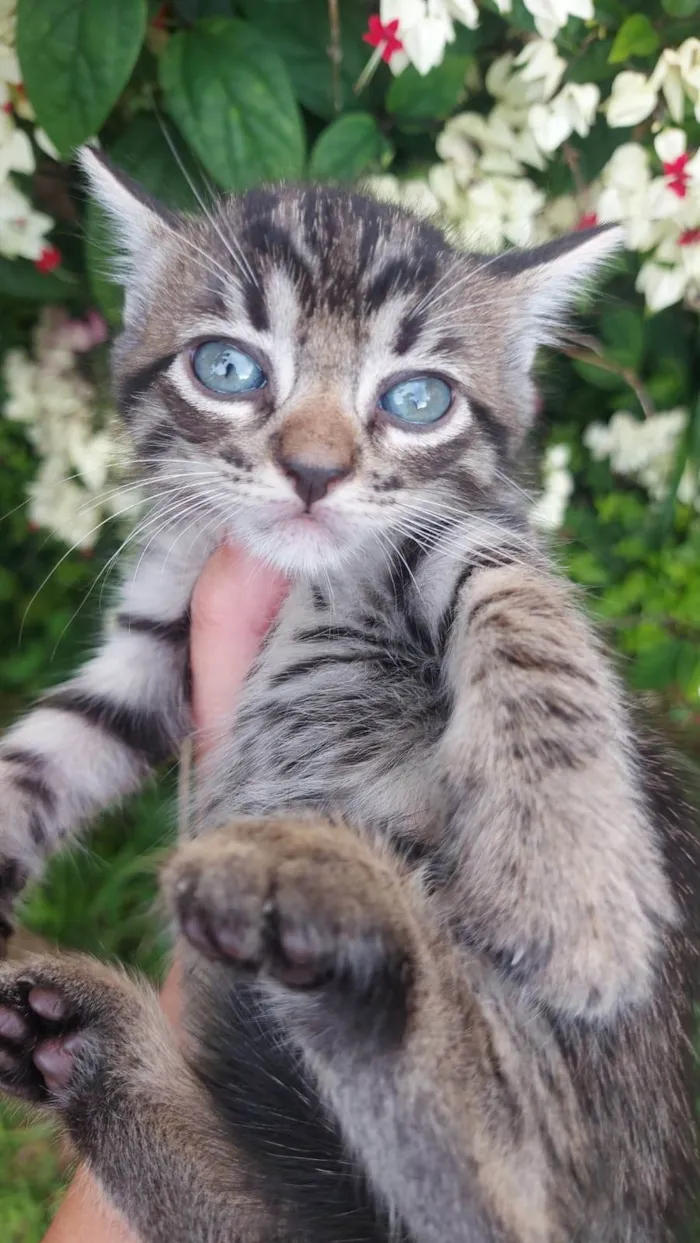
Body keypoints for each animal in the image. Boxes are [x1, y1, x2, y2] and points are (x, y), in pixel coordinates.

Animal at [0, 147, 696, 1243]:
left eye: (416, 400)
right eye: (228, 368)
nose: (315, 471)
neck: (298, 580)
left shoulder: (458, 529)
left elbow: (514, 598)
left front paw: (567, 870)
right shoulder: (155, 642)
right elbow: (51, 745)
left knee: (505, 1188)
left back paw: (347, 925)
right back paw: (77, 1038)